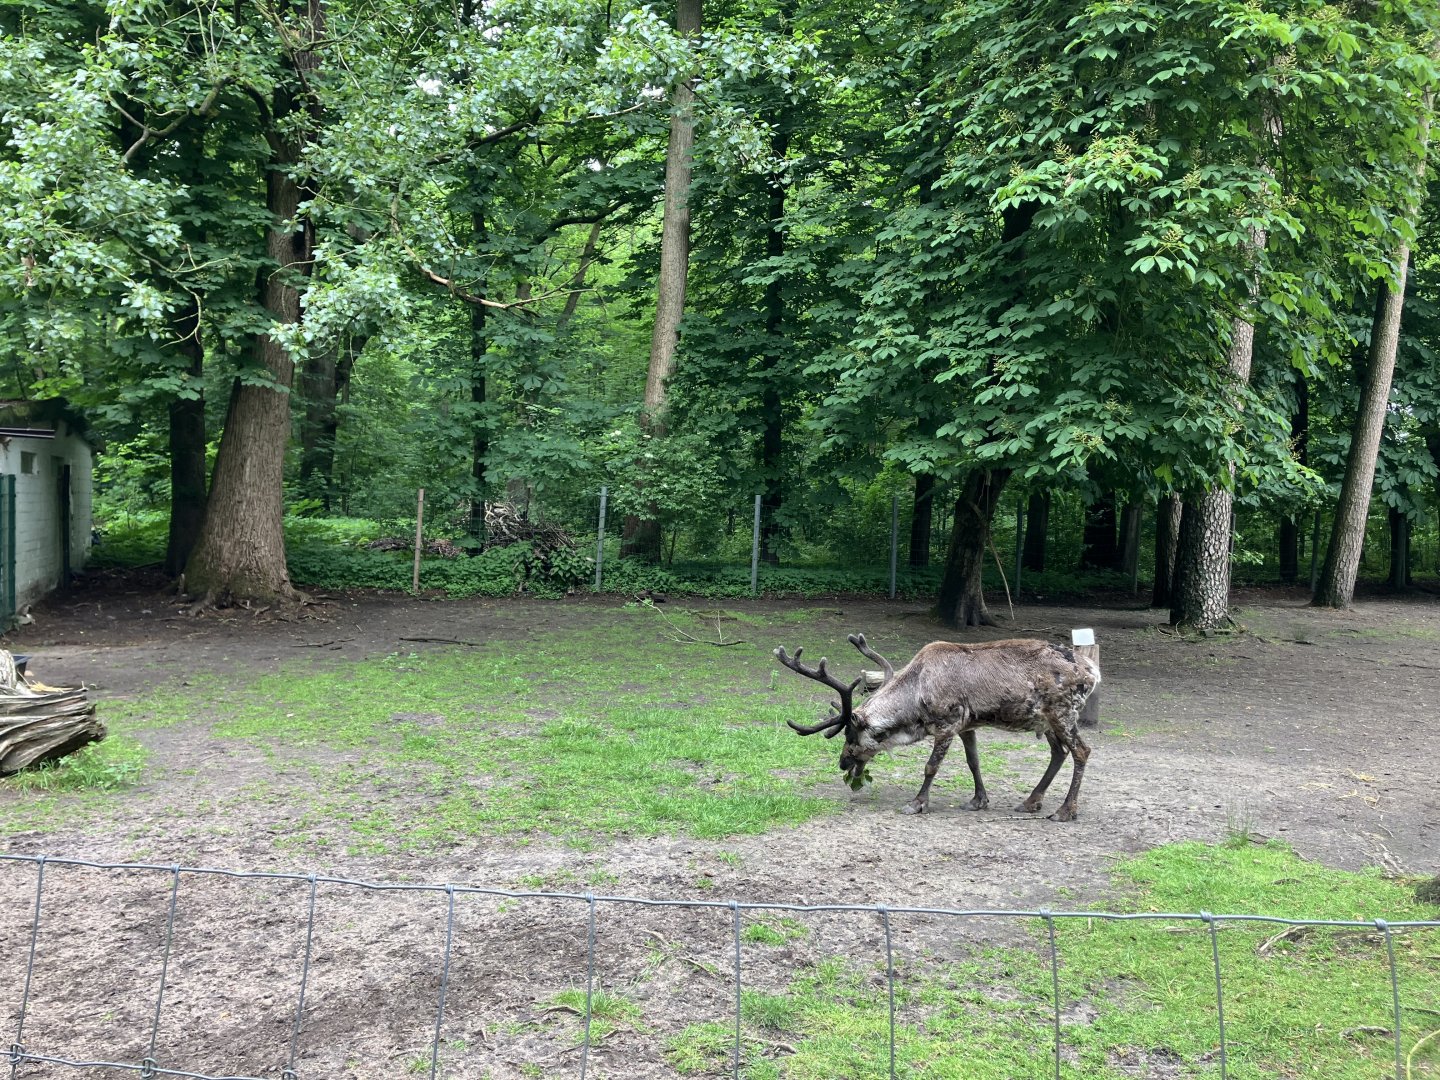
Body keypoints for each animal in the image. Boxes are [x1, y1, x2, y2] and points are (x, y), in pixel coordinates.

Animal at [774, 633, 1099, 822]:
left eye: (850, 734)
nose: (842, 763)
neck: (916, 695)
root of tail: (1093, 671)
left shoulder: (947, 724)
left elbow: (931, 767)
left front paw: (917, 803)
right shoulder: (968, 725)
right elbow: (973, 762)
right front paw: (978, 800)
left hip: (1063, 713)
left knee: (1081, 751)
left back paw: (1065, 811)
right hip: (1046, 720)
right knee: (1059, 753)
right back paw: (1031, 801)